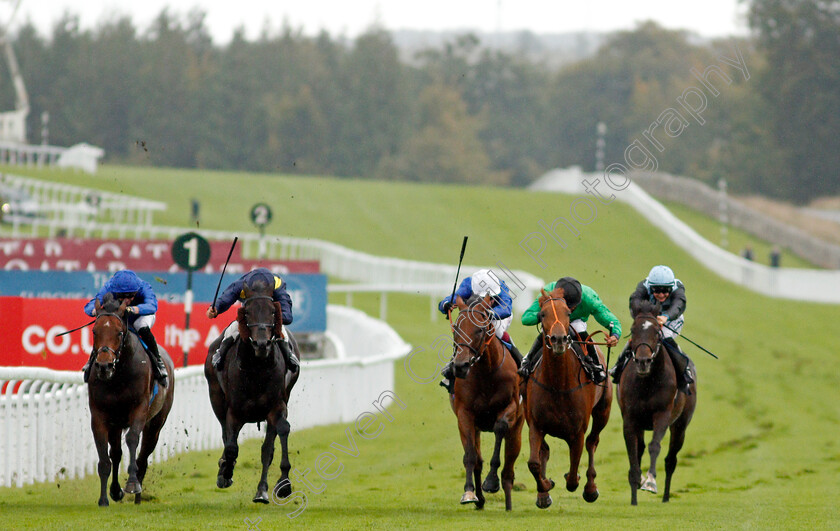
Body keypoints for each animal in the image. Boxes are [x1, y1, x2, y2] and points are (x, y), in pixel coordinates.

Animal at [88, 296, 175, 508]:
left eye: (119, 333)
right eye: (95, 331)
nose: (104, 366)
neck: (118, 376)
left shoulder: (139, 409)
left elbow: (133, 439)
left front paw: (133, 484)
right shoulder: (100, 415)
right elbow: (105, 457)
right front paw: (104, 498)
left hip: (156, 423)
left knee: (143, 456)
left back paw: (137, 498)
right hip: (116, 422)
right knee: (116, 453)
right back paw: (116, 491)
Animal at [204, 280, 302, 504]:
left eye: (273, 312)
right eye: (247, 312)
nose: (261, 343)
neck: (257, 369)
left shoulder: (277, 406)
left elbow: (277, 438)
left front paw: (281, 485)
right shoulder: (233, 410)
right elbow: (231, 447)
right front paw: (225, 472)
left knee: (268, 447)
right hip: (216, 397)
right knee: (226, 436)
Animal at [450, 296, 520, 512]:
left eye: (480, 329)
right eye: (456, 328)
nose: (460, 366)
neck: (486, 372)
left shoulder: (511, 406)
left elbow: (500, 428)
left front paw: (491, 482)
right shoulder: (465, 414)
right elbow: (471, 456)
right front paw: (469, 492)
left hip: (517, 430)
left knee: (509, 469)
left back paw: (508, 504)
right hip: (477, 428)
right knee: (478, 460)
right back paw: (479, 500)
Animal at [524, 288, 612, 510]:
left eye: (567, 313)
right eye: (542, 314)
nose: (559, 340)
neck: (558, 384)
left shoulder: (577, 432)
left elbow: (572, 477)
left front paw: (580, 482)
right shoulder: (535, 424)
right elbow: (534, 462)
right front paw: (545, 486)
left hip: (603, 412)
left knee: (592, 442)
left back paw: (590, 488)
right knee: (544, 451)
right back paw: (543, 494)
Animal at [616, 302, 696, 504]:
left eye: (657, 333)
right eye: (633, 330)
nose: (643, 361)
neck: (647, 383)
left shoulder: (662, 414)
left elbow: (655, 446)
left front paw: (650, 481)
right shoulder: (630, 418)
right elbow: (633, 451)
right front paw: (635, 488)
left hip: (680, 426)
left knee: (671, 460)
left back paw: (666, 497)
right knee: (641, 448)